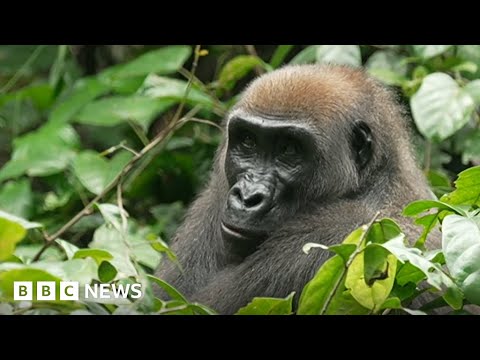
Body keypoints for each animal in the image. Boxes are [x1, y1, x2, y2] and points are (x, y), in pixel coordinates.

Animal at [156, 64, 436, 316]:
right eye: (248, 141)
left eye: (289, 149)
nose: (247, 197)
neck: (372, 181)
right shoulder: (216, 195)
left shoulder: (340, 231)